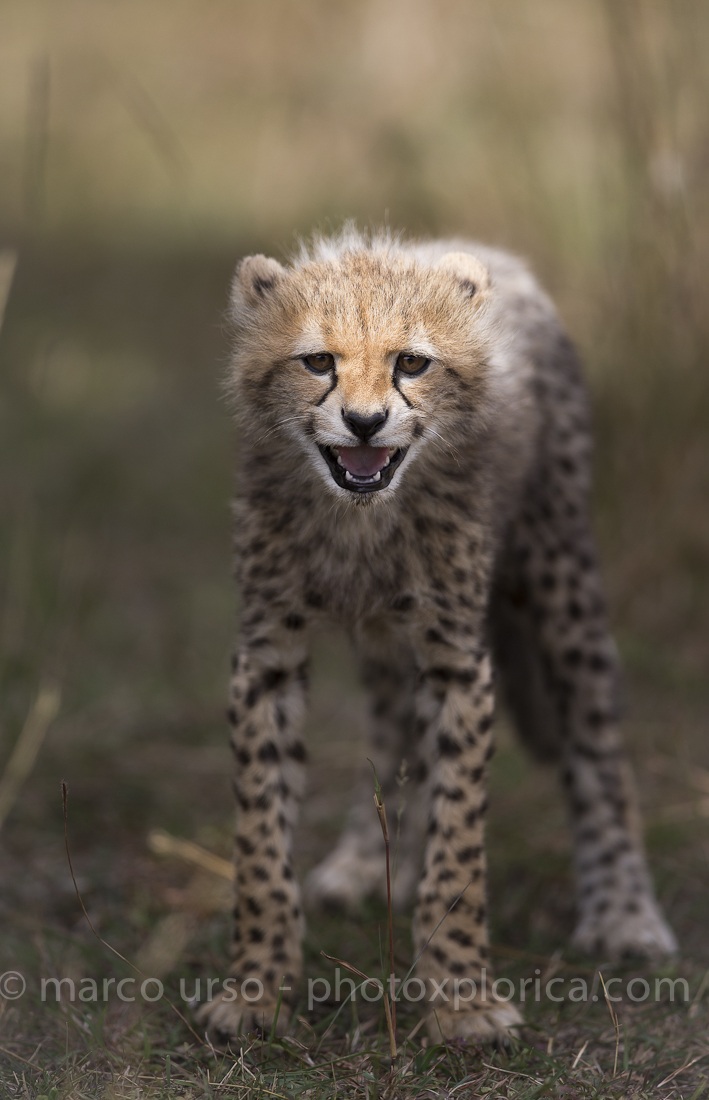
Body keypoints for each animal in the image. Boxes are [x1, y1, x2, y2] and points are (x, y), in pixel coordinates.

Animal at [197, 225, 676, 1044]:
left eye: (412, 364)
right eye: (317, 361)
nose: (363, 423)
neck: (359, 519)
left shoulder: (457, 660)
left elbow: (458, 840)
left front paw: (460, 998)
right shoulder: (266, 656)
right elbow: (261, 836)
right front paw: (257, 987)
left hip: (560, 568)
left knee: (594, 741)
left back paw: (623, 910)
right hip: (391, 641)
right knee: (391, 726)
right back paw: (362, 862)